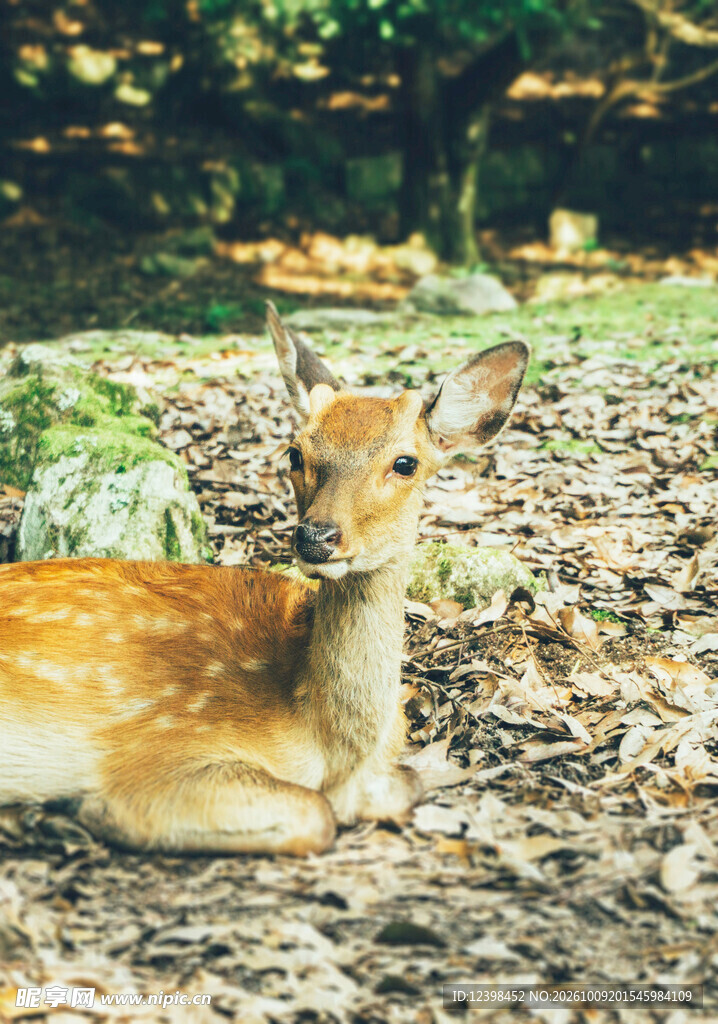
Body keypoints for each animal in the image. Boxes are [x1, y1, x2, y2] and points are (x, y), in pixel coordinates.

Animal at [0, 303, 528, 856]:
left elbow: (409, 785)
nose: (316, 537)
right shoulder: (158, 750)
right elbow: (316, 814)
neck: (331, 752)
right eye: (295, 453)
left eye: (406, 463)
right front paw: (81, 815)